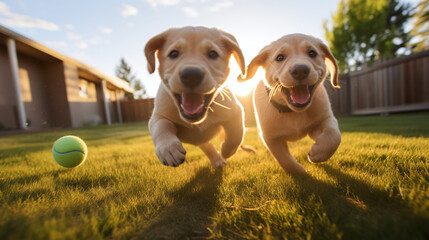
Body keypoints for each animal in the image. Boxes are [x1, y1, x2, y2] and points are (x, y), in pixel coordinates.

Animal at [145, 26, 247, 168]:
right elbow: (161, 125)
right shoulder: (157, 115)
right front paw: (168, 148)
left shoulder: (236, 111)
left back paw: (218, 159)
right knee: (206, 145)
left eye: (213, 54)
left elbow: (236, 134)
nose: (191, 75)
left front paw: (226, 150)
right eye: (173, 54)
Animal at [239, 33, 340, 172]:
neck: (292, 111)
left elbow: (334, 136)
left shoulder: (324, 119)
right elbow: (284, 159)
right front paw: (300, 172)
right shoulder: (270, 138)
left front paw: (318, 153)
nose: (300, 70)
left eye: (312, 53)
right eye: (280, 57)